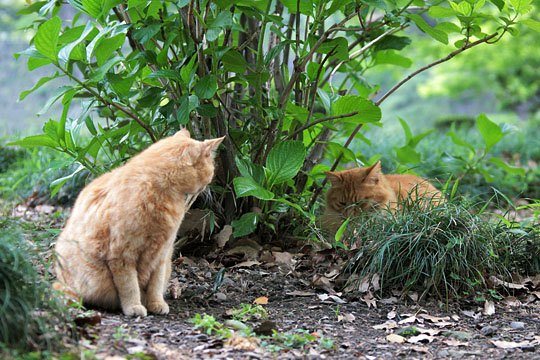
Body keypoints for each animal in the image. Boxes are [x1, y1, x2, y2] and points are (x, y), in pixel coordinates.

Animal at [54, 129, 224, 316]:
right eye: (211, 169)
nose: (209, 185)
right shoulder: (122, 256)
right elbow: (130, 286)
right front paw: (134, 307)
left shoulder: (161, 255)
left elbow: (155, 285)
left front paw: (156, 304)